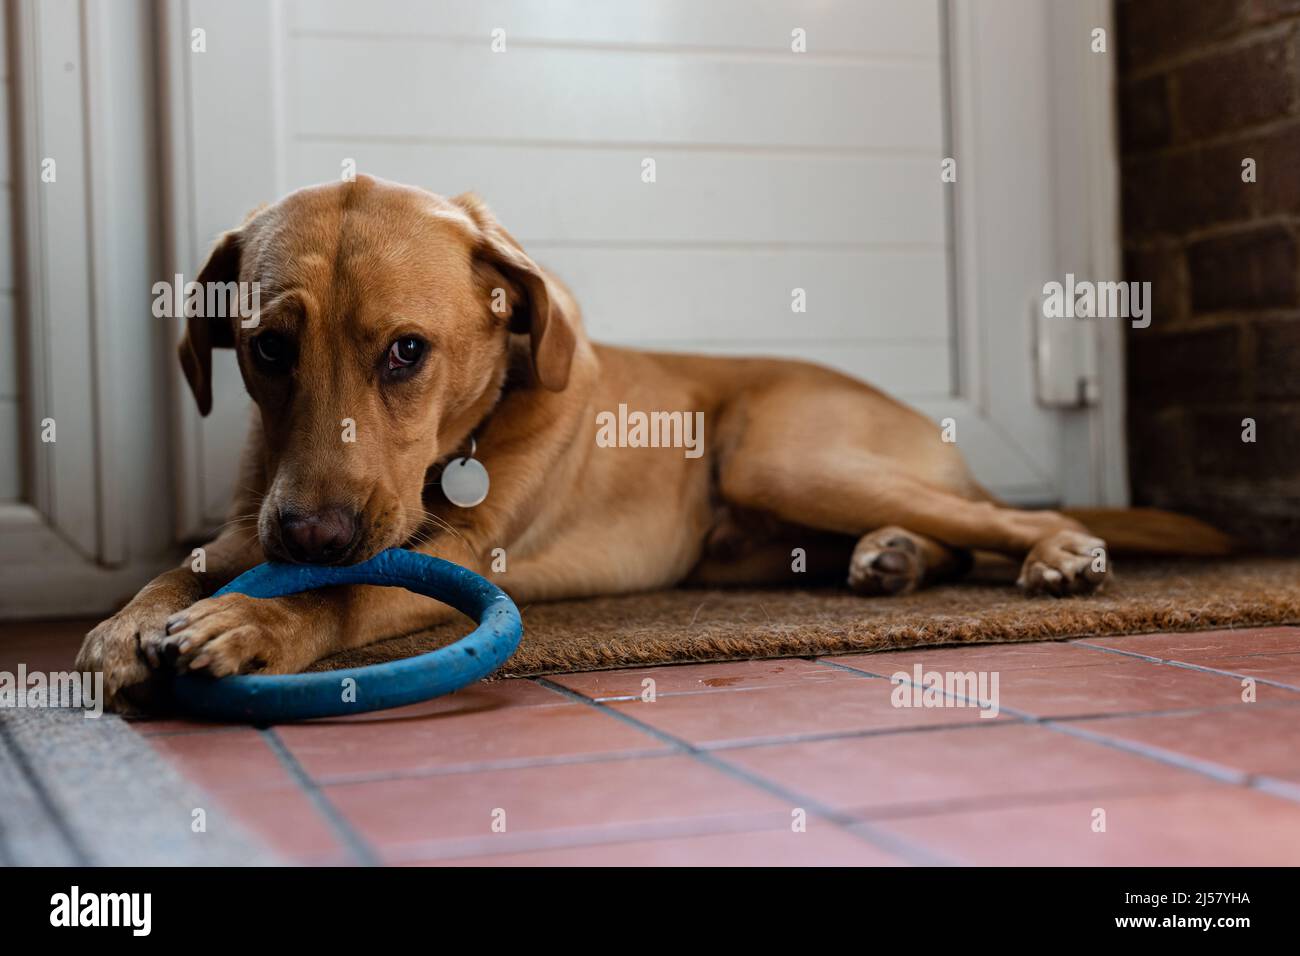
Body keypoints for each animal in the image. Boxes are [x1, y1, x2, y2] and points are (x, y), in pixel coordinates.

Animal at [76, 178, 1232, 712]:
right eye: (267, 348)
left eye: (407, 351)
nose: (308, 534)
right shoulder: (248, 526)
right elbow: (179, 573)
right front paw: (123, 628)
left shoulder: (455, 552)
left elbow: (344, 594)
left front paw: (252, 622)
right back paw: (893, 557)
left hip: (781, 454)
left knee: (1007, 511)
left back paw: (1055, 550)